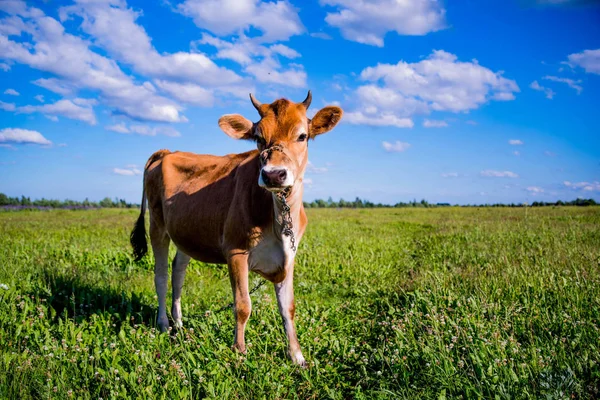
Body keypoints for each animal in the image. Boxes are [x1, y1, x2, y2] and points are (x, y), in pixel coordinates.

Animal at [131, 91, 342, 366]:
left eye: (302, 136)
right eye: (259, 138)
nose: (273, 175)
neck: (278, 217)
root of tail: (168, 151)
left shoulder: (289, 255)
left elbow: (288, 306)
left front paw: (296, 355)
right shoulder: (235, 251)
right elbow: (242, 305)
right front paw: (239, 352)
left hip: (185, 233)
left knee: (178, 272)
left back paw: (179, 323)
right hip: (157, 225)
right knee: (161, 275)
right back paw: (164, 324)